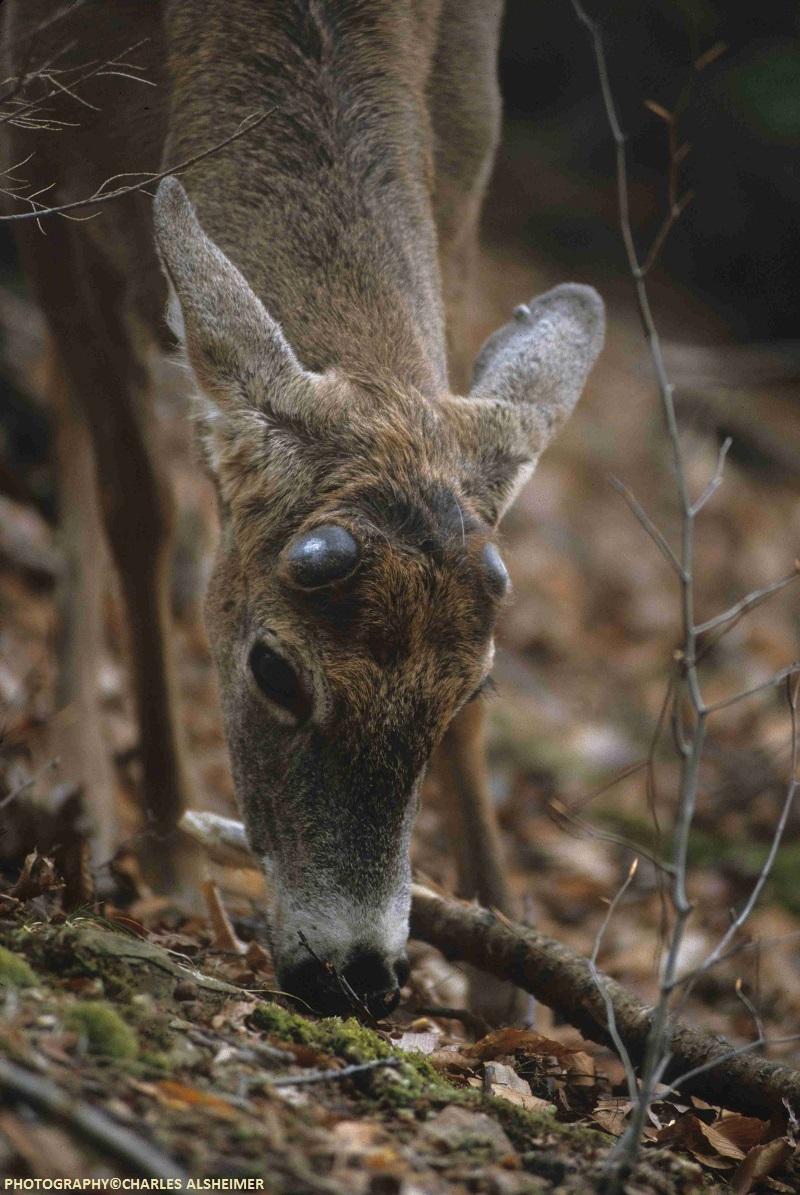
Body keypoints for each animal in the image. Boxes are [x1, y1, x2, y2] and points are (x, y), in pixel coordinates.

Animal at [6, 0, 602, 1018]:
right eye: (275, 669)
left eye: (472, 687)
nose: (356, 975)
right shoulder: (44, 145)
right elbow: (140, 504)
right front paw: (167, 848)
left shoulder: (467, 156)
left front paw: (504, 969)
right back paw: (79, 774)